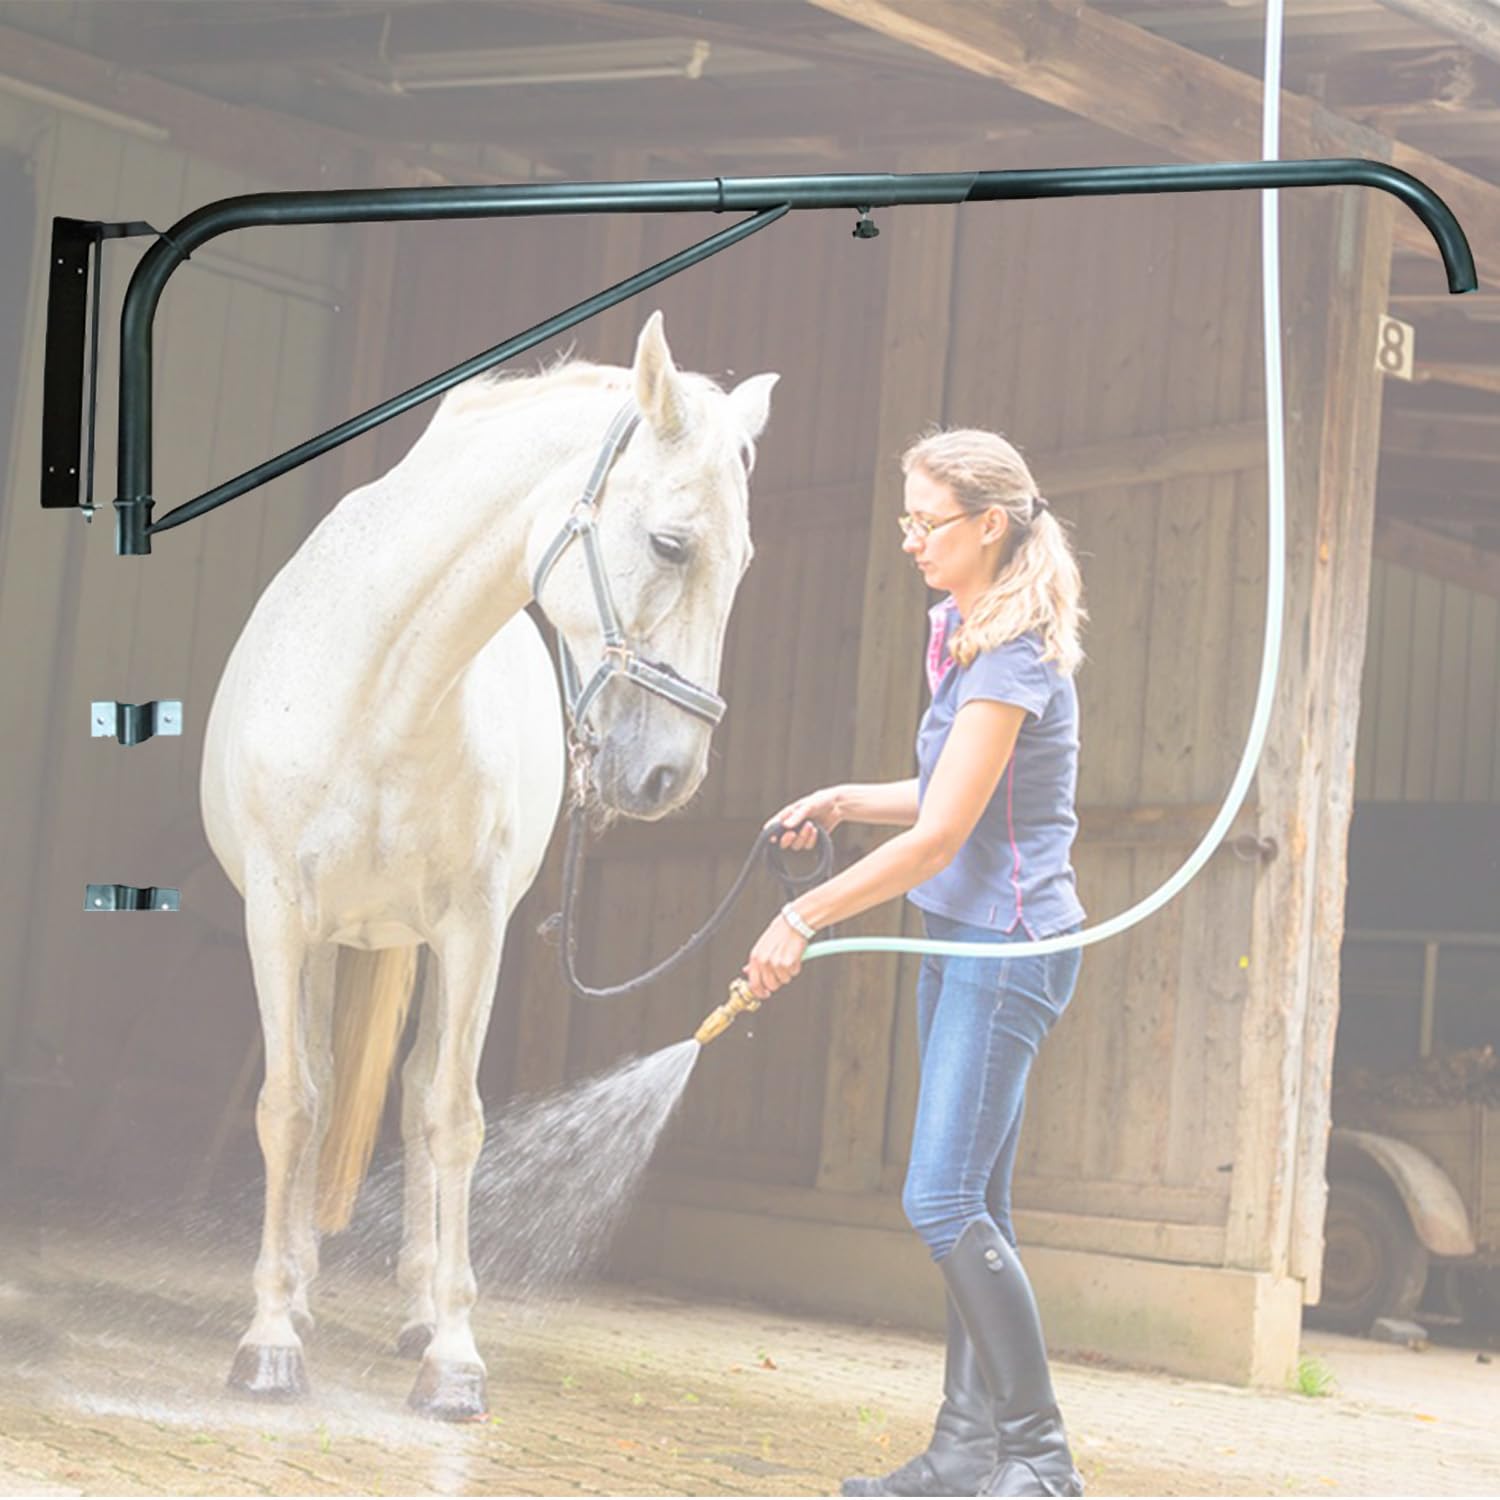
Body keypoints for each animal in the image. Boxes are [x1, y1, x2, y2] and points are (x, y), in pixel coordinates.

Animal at [200, 309, 777, 1418]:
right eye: (671, 542)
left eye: (745, 564)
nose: (667, 775)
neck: (381, 686)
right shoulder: (279, 918)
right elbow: (290, 1104)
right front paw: (267, 1338)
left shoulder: (469, 930)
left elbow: (450, 1116)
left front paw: (455, 1358)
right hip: (327, 940)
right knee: (320, 1086)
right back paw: (298, 1300)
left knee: (415, 1095)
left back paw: (417, 1311)